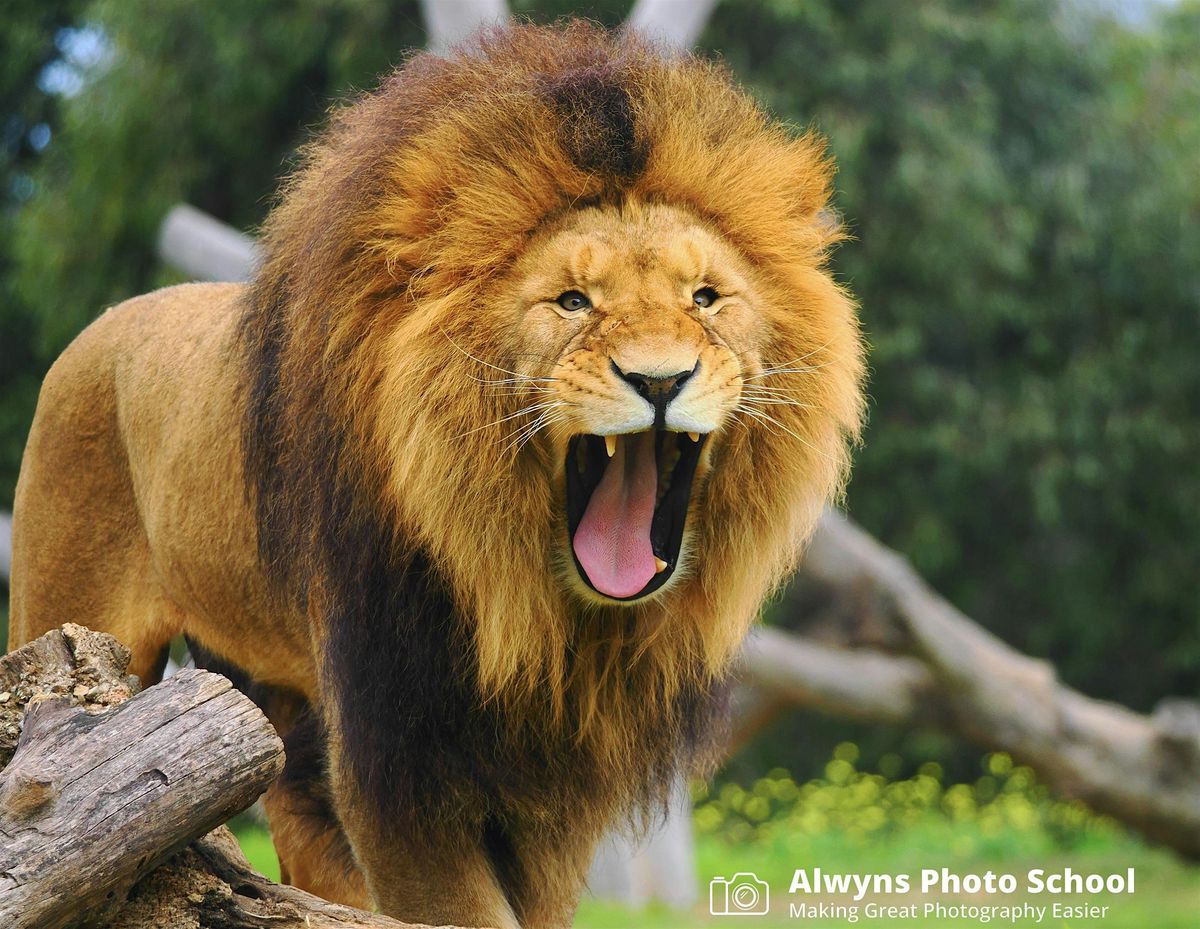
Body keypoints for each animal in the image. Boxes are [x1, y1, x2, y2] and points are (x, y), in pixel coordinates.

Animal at [7, 21, 864, 929]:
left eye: (705, 296)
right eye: (571, 301)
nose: (660, 379)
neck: (535, 606)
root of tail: (101, 324)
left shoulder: (557, 789)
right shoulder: (396, 757)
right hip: (70, 625)